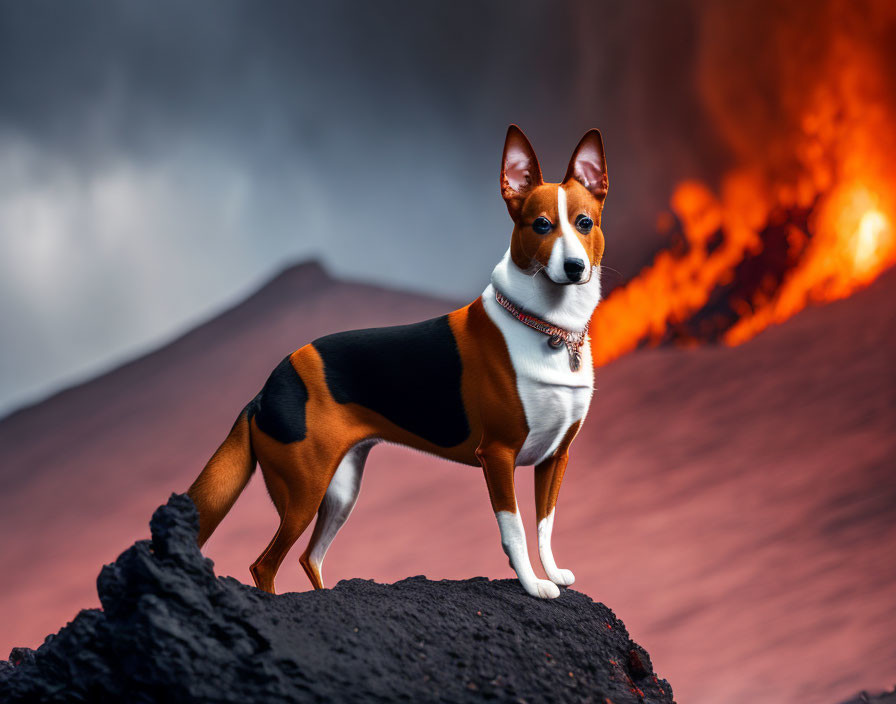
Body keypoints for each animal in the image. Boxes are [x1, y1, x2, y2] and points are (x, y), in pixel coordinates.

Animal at [188, 126, 608, 600]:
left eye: (585, 223)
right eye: (541, 225)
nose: (574, 267)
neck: (549, 327)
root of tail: (264, 390)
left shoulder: (556, 458)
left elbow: (545, 524)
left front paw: (551, 573)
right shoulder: (498, 455)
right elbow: (515, 529)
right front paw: (534, 585)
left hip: (341, 491)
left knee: (309, 556)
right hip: (303, 492)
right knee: (265, 564)